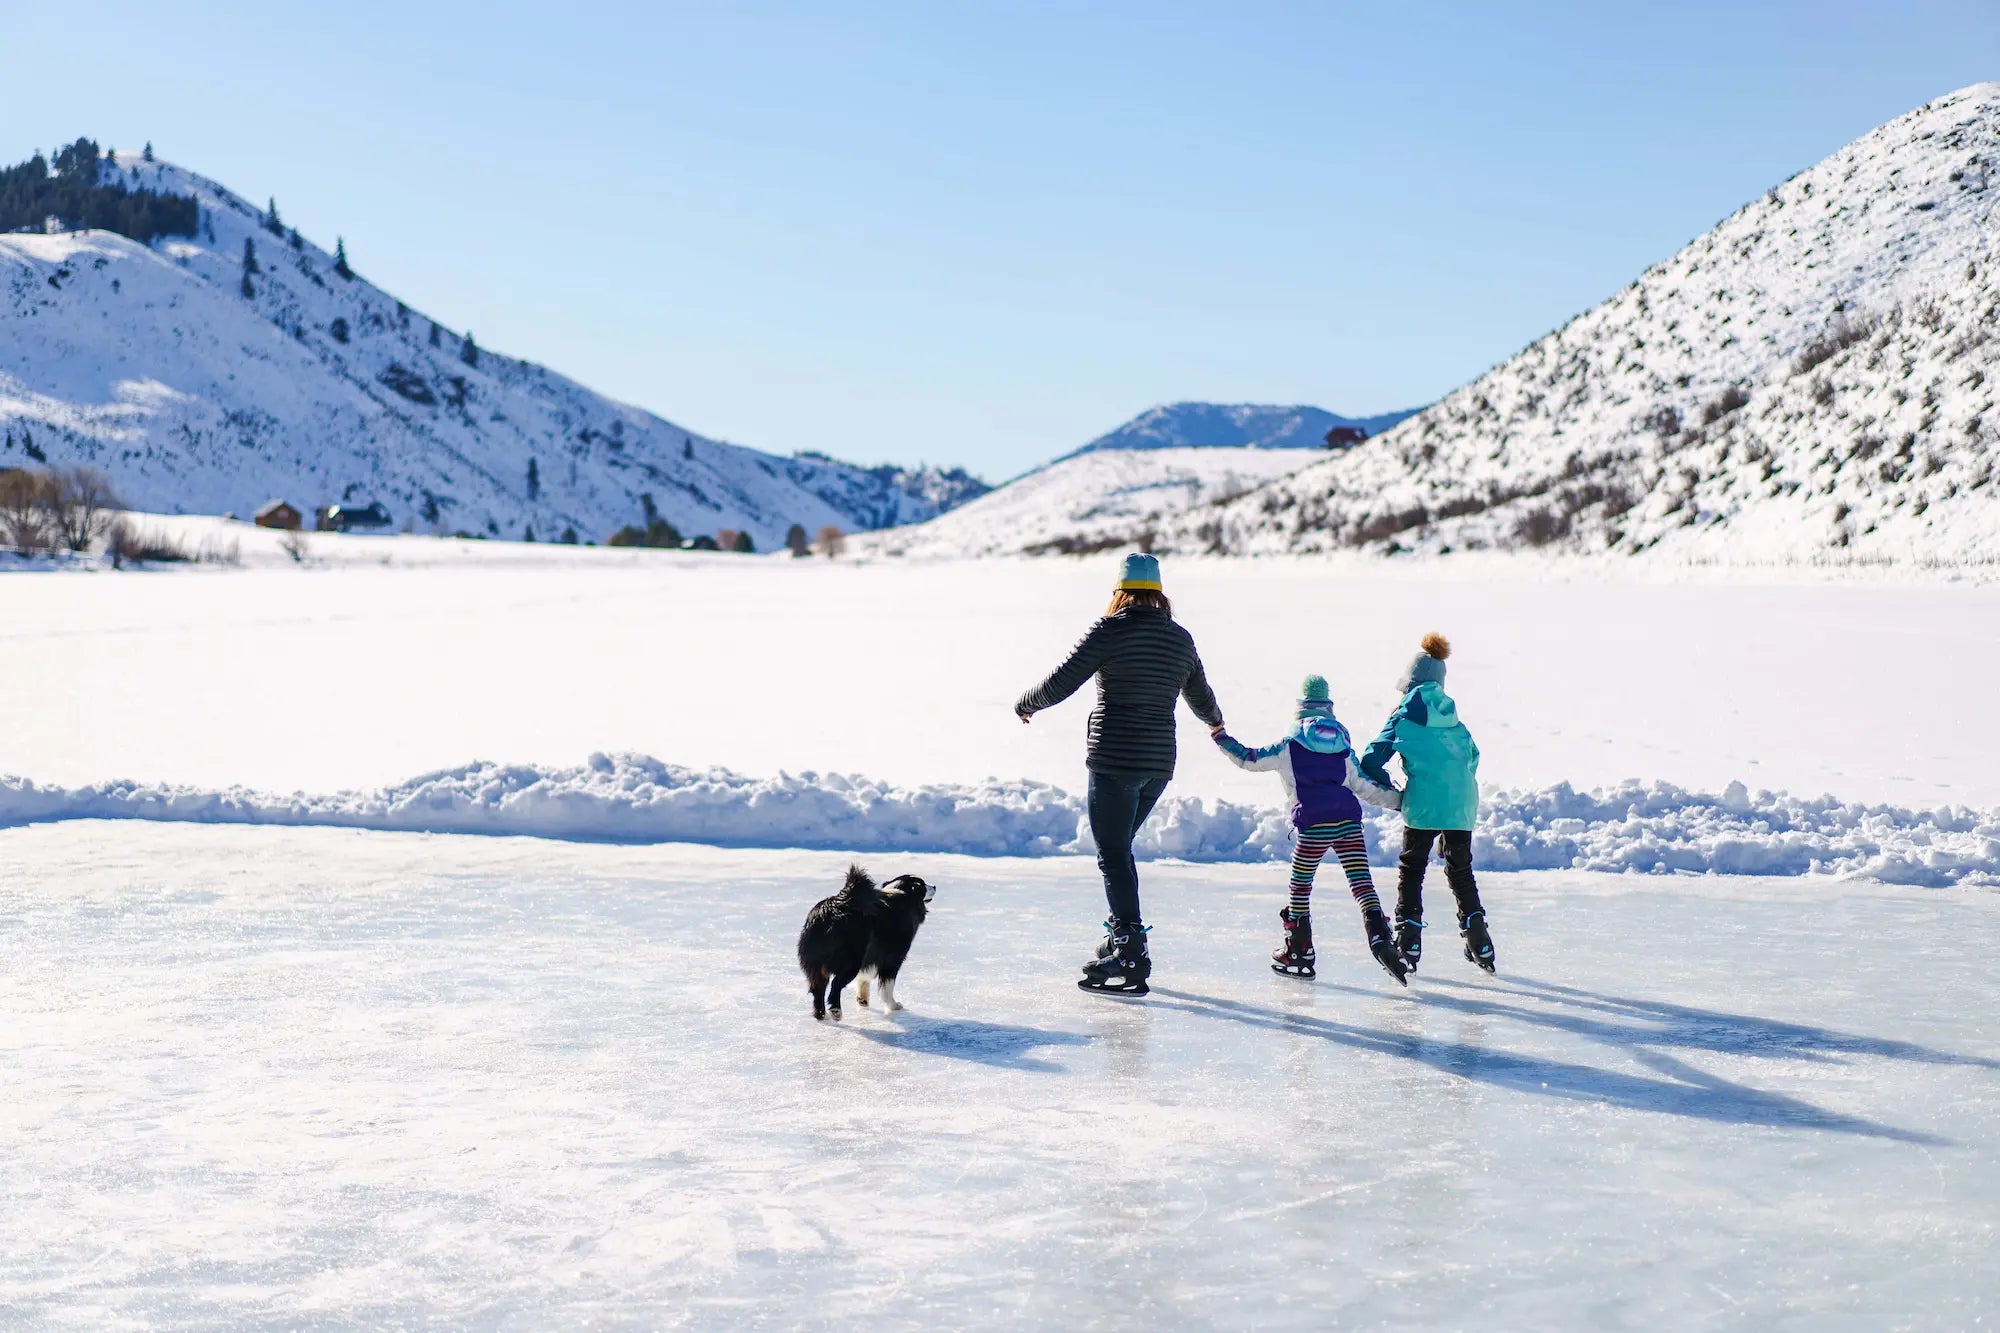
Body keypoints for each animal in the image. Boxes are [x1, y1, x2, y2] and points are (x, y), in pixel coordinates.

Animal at [796, 860, 936, 1016]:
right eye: (922, 884)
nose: (934, 886)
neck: (903, 893)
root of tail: (836, 906)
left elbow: (864, 979)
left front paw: (862, 1000)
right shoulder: (893, 958)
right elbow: (888, 985)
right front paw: (893, 1005)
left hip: (816, 962)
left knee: (818, 987)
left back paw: (820, 1014)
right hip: (851, 960)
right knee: (835, 985)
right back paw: (836, 1011)